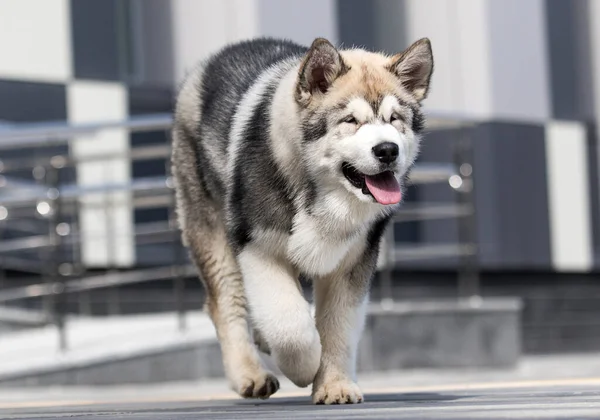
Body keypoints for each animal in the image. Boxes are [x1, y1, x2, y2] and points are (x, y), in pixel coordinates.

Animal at [171, 36, 434, 404]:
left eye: (395, 119)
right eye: (350, 121)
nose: (387, 150)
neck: (320, 190)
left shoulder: (353, 261)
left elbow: (338, 325)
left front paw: (334, 384)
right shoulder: (258, 248)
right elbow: (291, 326)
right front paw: (305, 367)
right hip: (209, 227)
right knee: (226, 301)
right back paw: (249, 374)